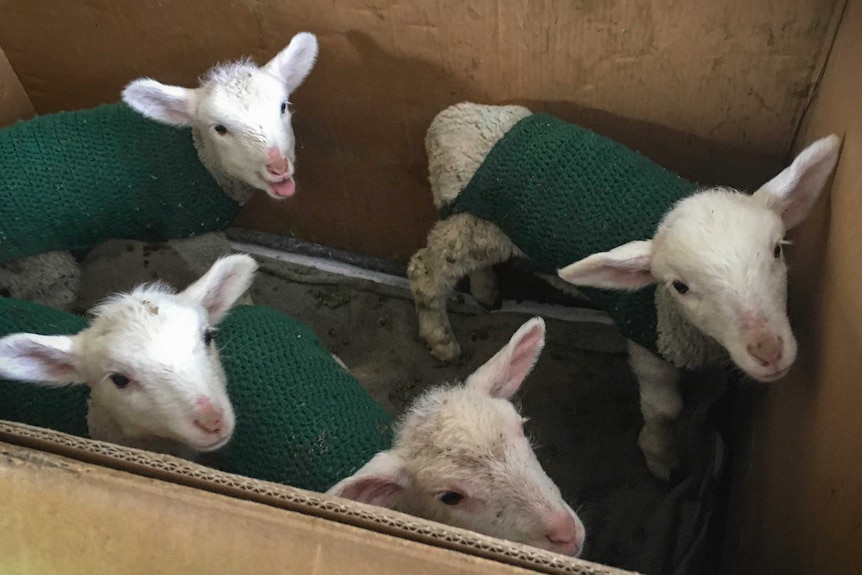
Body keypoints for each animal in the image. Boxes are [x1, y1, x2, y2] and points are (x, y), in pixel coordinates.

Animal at [0, 30, 318, 310]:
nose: (278, 166)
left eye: (283, 106)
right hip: (41, 261)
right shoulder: (194, 232)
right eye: (219, 128)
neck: (202, 158)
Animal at [412, 101, 844, 480]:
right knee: (425, 272)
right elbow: (665, 409)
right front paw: (661, 457)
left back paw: (486, 292)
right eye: (680, 286)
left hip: (477, 225)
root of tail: (449, 118)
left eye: (777, 250)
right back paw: (441, 339)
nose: (768, 352)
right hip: (470, 225)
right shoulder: (647, 339)